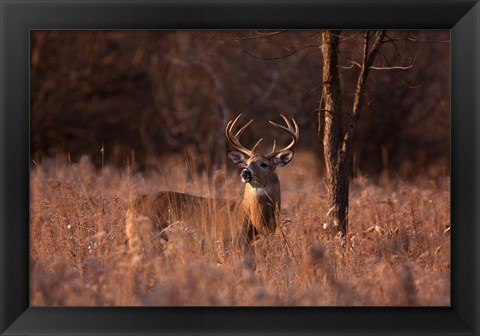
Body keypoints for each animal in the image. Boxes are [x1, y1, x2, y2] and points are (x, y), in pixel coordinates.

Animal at [126, 113, 300, 258]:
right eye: (248, 163)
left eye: (264, 164)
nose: (245, 173)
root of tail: (131, 207)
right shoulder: (227, 243)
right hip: (144, 238)